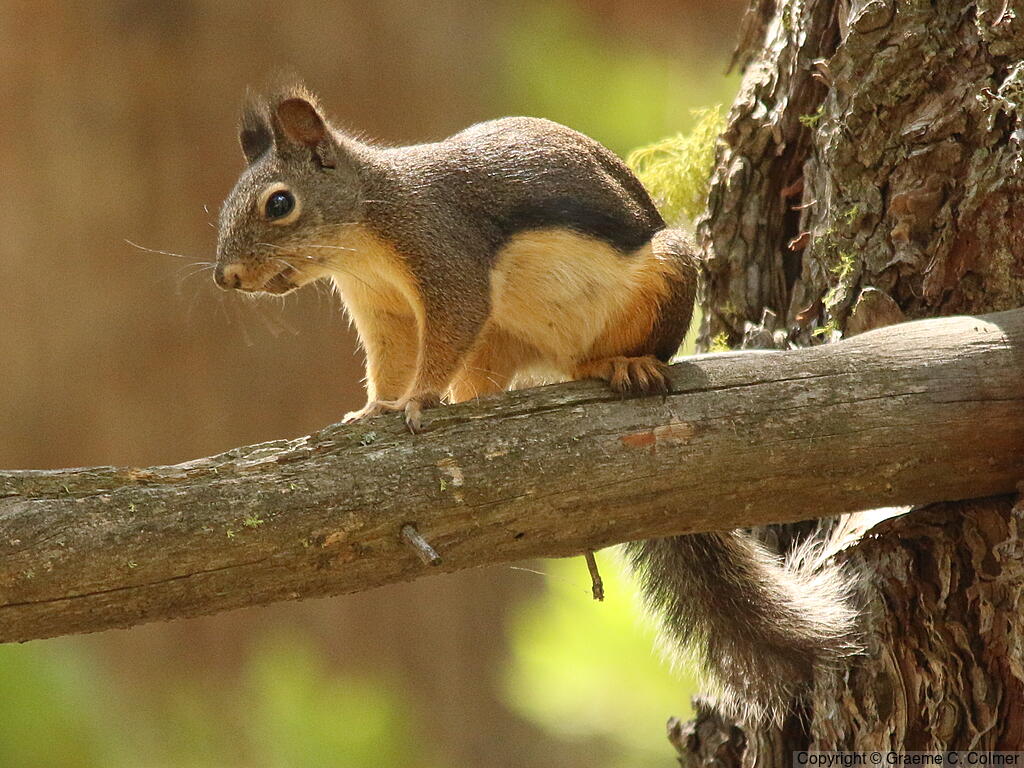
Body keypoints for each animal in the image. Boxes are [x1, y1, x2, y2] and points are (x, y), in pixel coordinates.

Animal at [214, 83, 859, 723]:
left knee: (604, 356)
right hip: (498, 343)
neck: (365, 233)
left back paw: (624, 365)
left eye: (279, 203)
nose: (226, 277)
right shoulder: (382, 309)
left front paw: (418, 401)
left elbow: (445, 334)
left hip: (663, 280)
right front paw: (375, 409)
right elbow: (388, 363)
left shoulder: (447, 259)